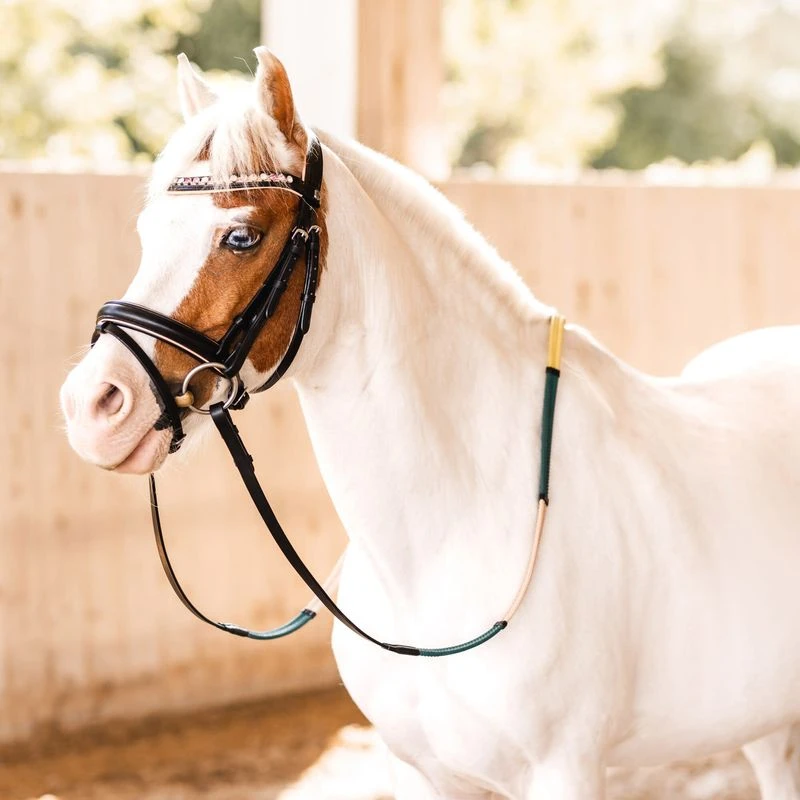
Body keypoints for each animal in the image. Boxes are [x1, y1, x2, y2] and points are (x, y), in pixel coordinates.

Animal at [60, 48, 800, 799]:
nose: (93, 406)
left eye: (241, 236)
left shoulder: (566, 769)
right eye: (148, 233)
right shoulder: (417, 769)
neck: (448, 541)